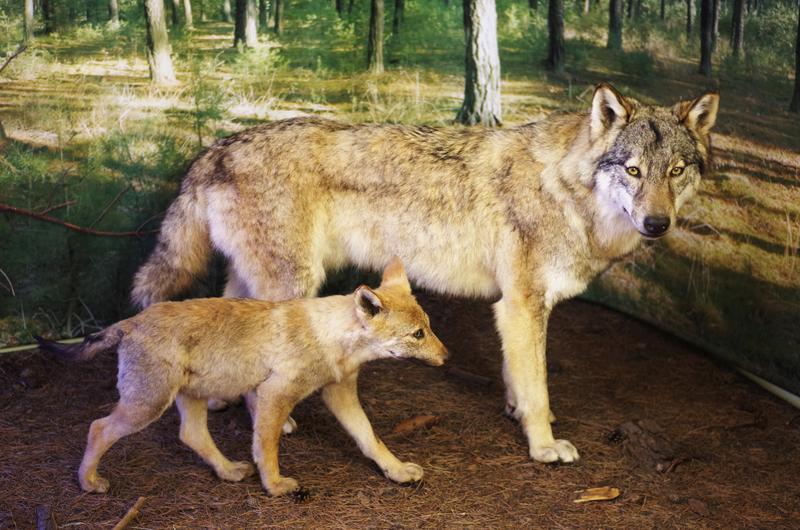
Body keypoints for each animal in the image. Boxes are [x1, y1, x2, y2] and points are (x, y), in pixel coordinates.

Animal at [131, 82, 720, 462]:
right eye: (633, 171)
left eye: (675, 171)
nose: (657, 223)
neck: (565, 187)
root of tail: (214, 149)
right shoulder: (522, 303)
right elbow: (538, 387)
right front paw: (543, 445)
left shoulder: (514, 308)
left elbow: (516, 375)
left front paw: (513, 412)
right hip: (293, 283)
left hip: (258, 280)